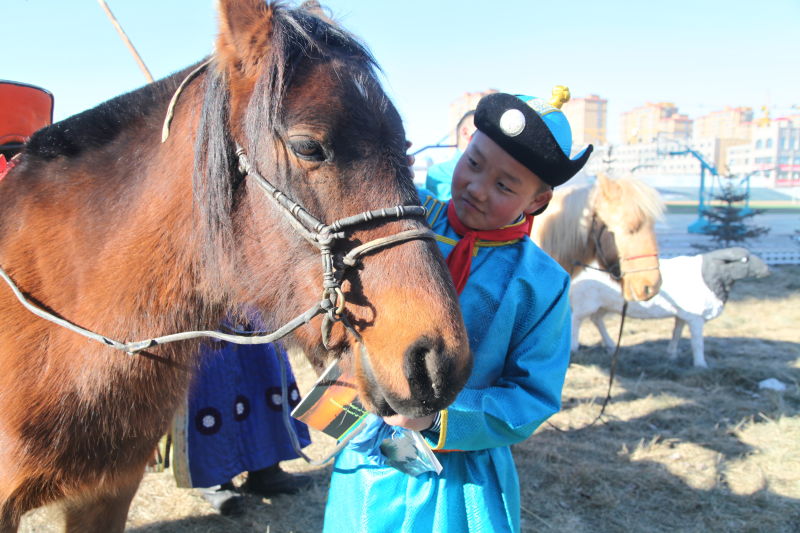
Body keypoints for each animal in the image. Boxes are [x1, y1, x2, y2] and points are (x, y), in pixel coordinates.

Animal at [568, 247, 768, 368]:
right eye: (744, 260)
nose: (767, 270)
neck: (710, 276)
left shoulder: (683, 314)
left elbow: (676, 332)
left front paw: (672, 354)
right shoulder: (696, 316)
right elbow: (697, 343)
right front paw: (701, 364)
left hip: (601, 304)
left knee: (596, 320)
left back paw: (610, 345)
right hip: (585, 302)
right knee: (575, 321)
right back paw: (574, 346)